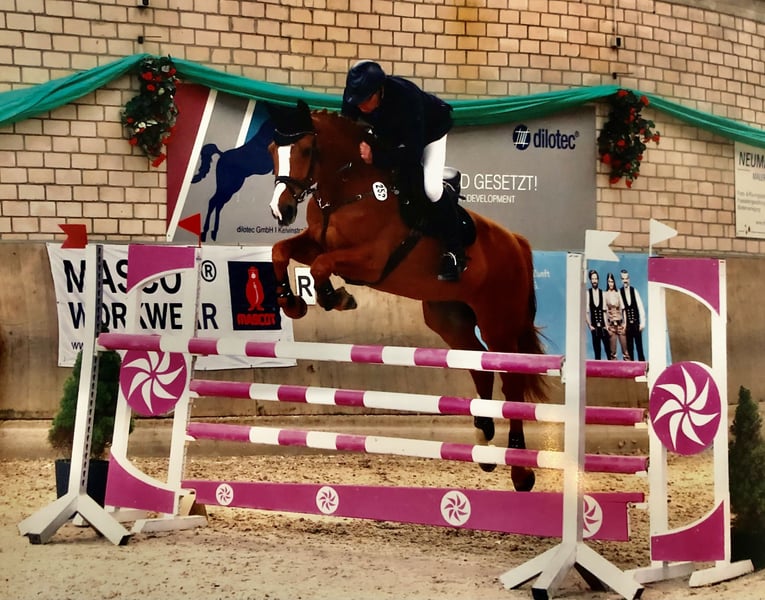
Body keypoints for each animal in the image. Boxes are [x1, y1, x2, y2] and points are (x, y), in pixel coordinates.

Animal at [265, 100, 546, 492]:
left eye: (306, 149)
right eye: (271, 151)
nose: (281, 210)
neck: (347, 189)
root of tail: (516, 242)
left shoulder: (370, 260)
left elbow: (322, 266)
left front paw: (336, 298)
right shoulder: (316, 241)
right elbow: (280, 251)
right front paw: (291, 303)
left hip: (498, 321)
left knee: (512, 380)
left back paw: (520, 469)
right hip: (449, 317)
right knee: (478, 366)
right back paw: (484, 443)